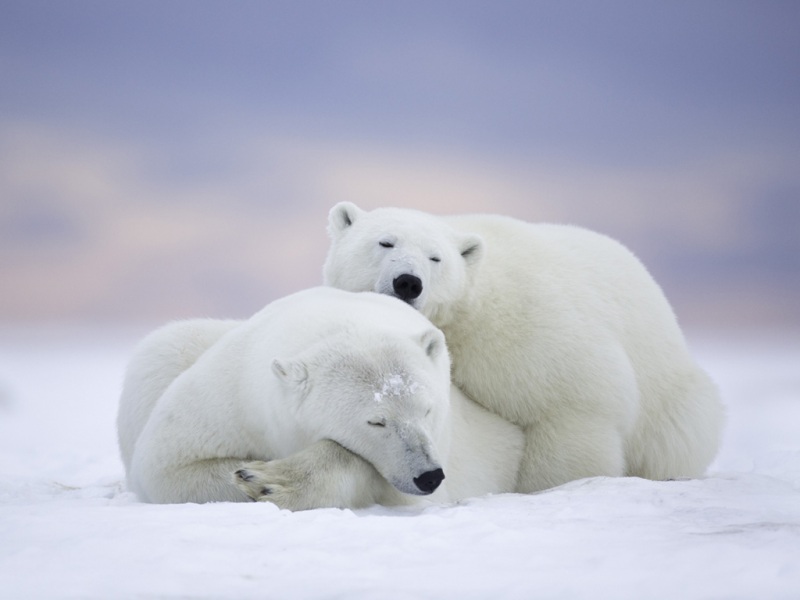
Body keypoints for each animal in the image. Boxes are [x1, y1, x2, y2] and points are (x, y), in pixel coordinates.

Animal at [117, 287, 523, 509]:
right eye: (376, 421)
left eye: (427, 409)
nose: (429, 475)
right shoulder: (231, 395)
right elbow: (167, 466)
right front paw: (252, 475)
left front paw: (270, 480)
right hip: (167, 353)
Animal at [323, 203, 725, 493]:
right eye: (385, 242)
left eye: (436, 258)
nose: (408, 282)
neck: (468, 311)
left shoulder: (526, 330)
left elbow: (572, 405)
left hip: (670, 398)